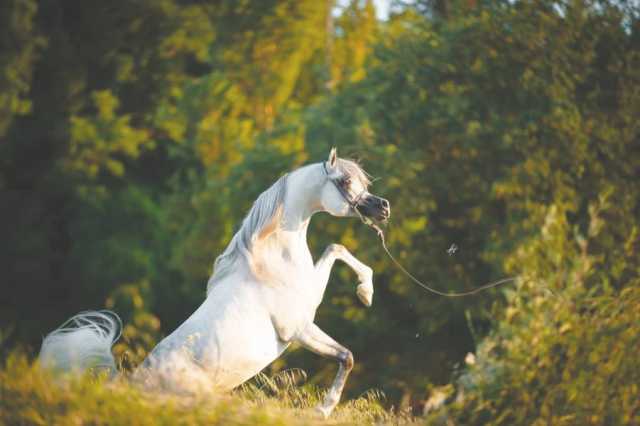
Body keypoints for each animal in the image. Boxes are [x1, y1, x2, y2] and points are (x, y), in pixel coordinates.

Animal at [41, 148, 390, 418]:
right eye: (345, 181)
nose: (383, 207)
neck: (270, 259)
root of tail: (131, 383)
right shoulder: (299, 329)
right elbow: (346, 356)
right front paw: (323, 410)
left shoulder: (310, 303)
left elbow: (335, 248)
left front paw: (366, 293)